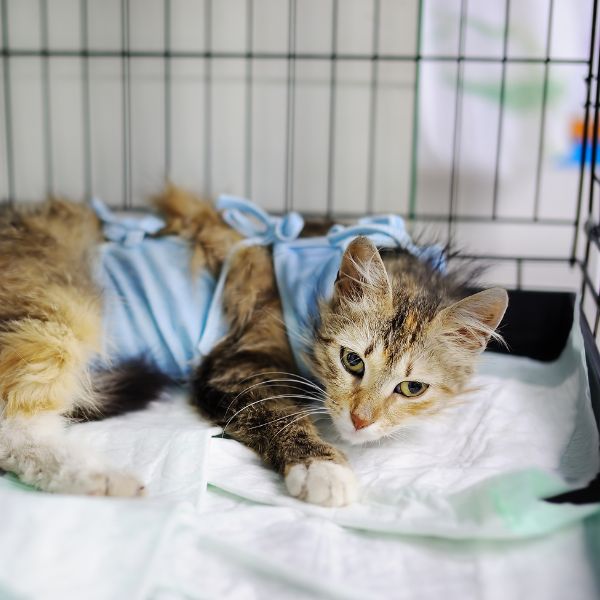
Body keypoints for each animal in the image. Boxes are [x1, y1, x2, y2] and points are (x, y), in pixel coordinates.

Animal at [0, 189, 506, 506]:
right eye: (352, 360)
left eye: (412, 388)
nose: (361, 421)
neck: (315, 285)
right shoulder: (238, 363)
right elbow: (279, 413)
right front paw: (323, 470)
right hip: (63, 310)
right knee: (15, 428)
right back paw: (105, 479)